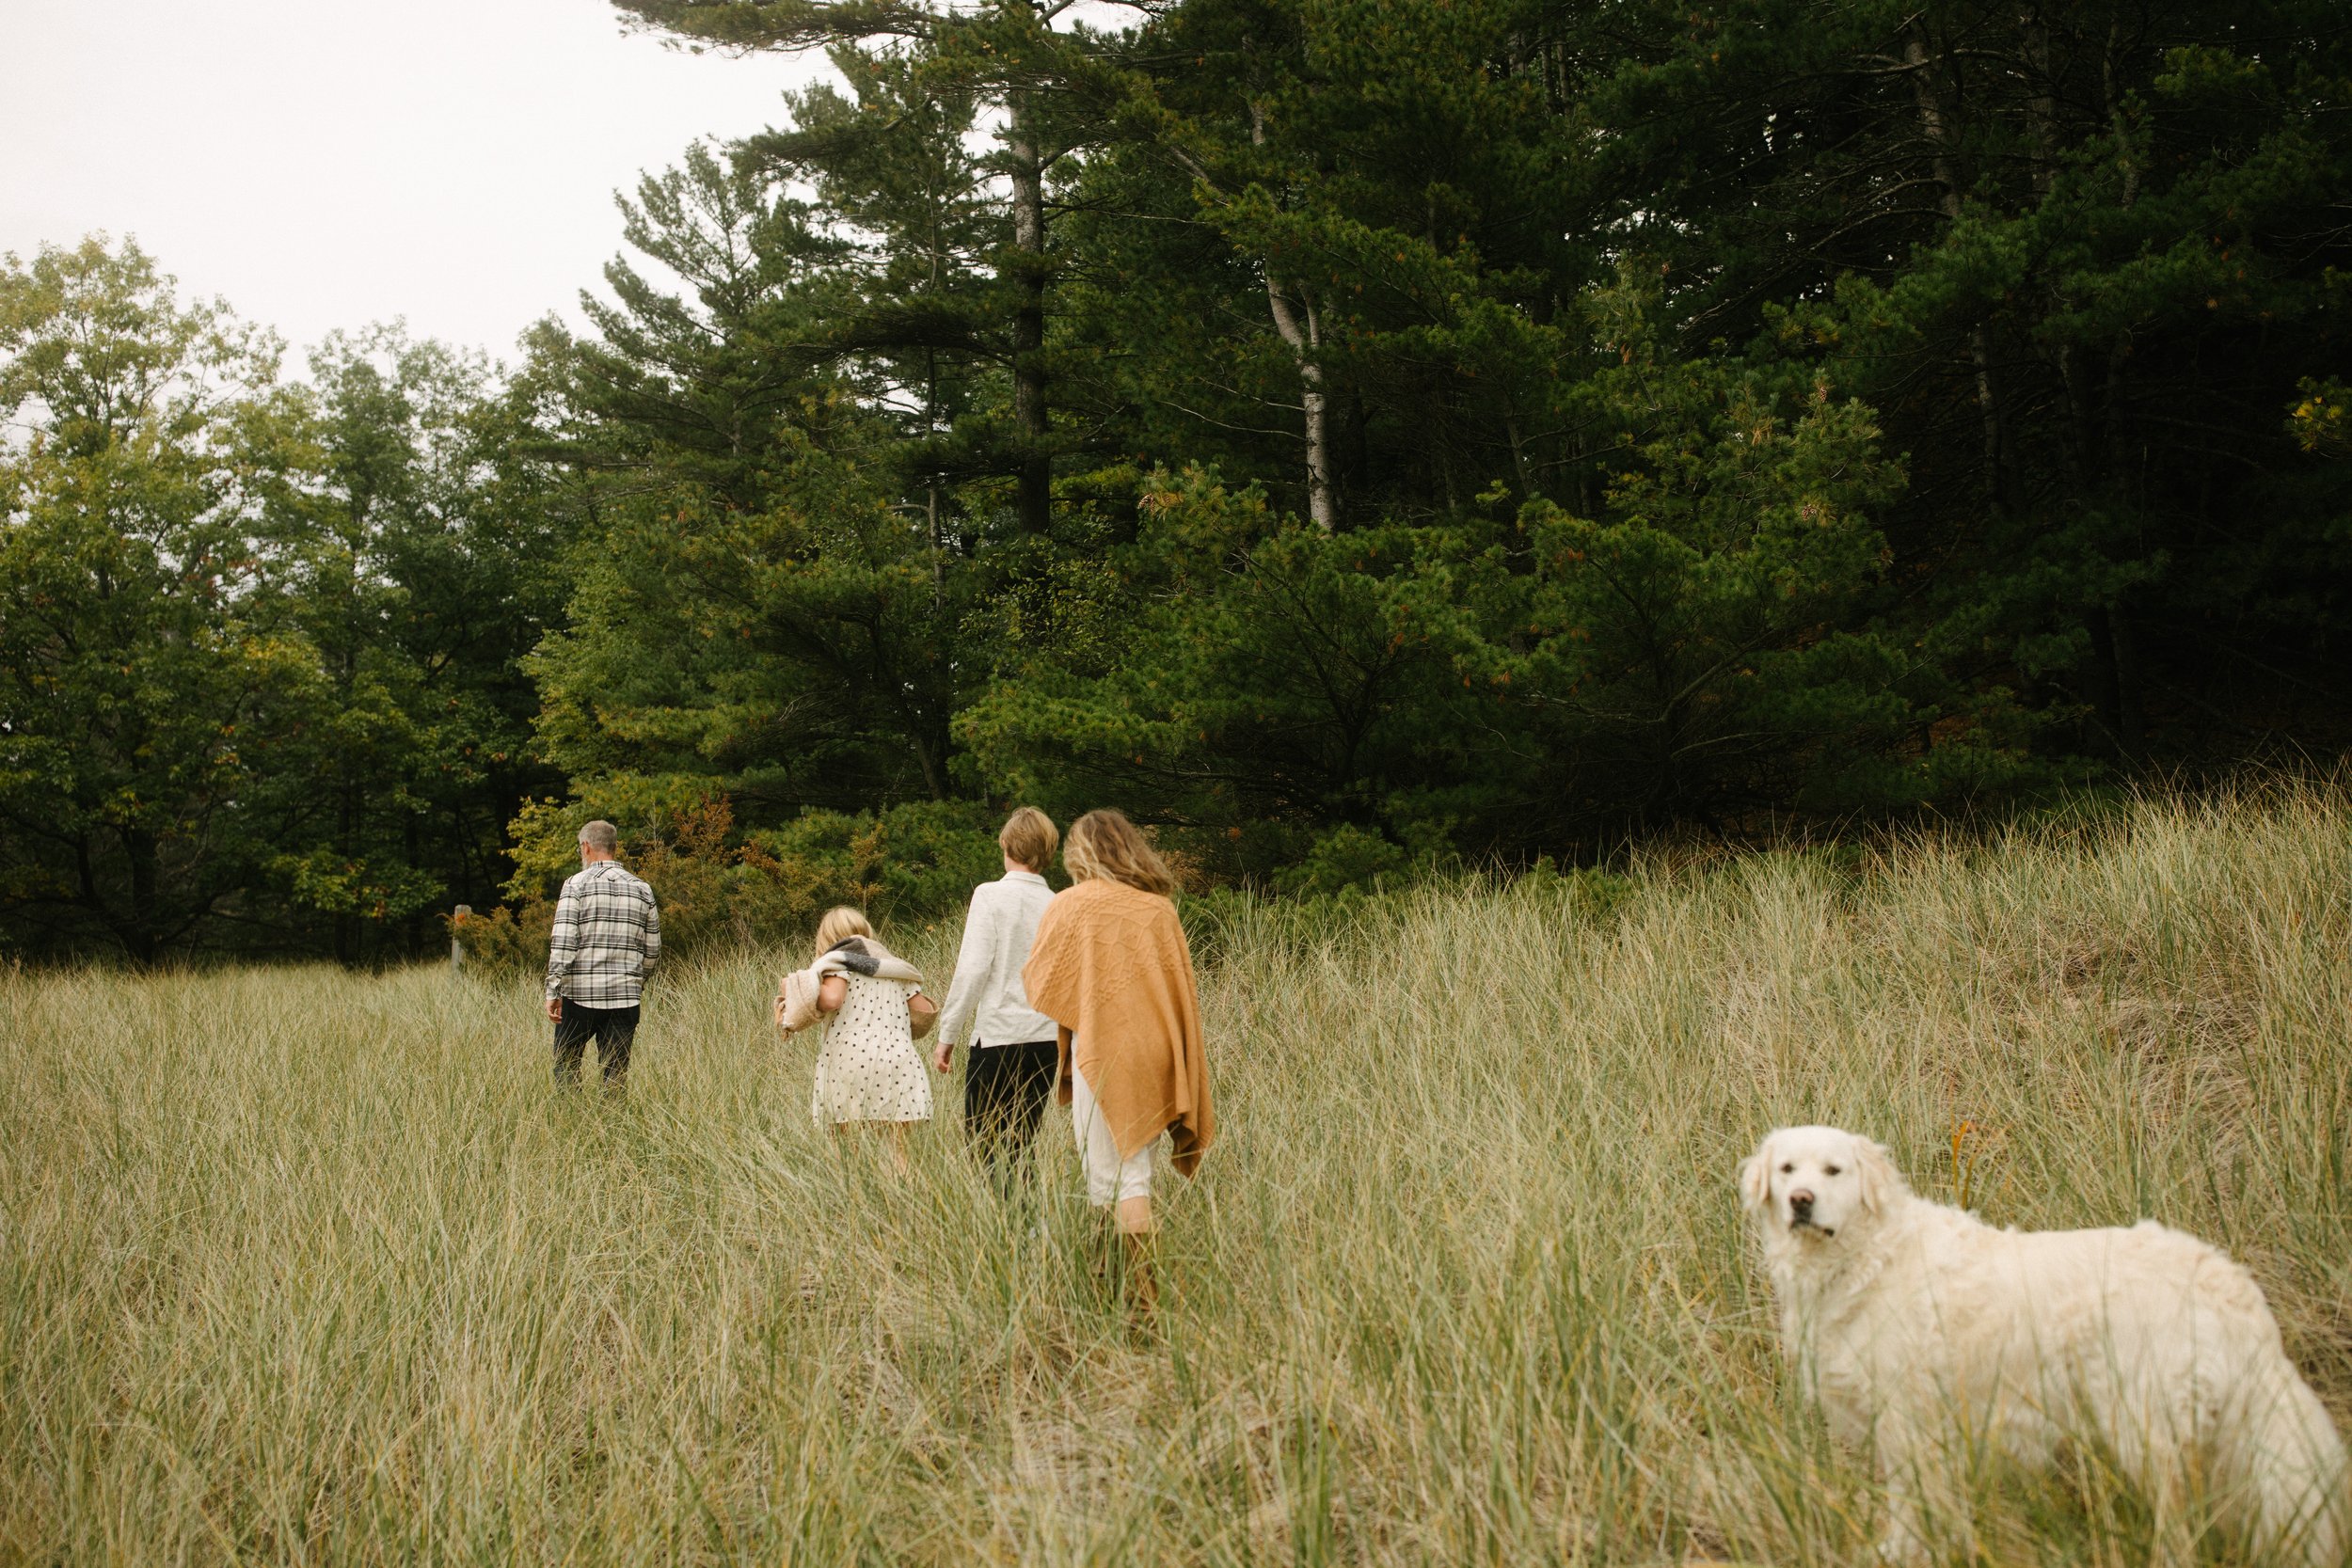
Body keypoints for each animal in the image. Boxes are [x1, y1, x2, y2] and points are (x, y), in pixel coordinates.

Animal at [1740, 1123, 2343, 1560]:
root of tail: (2228, 1279)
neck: (1867, 1256)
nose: (1801, 1201)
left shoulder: (1908, 1419)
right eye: (1788, 1169)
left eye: (1834, 1170)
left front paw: (1900, 1553)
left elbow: (1914, 1505)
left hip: (2146, 1427)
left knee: (2183, 1528)